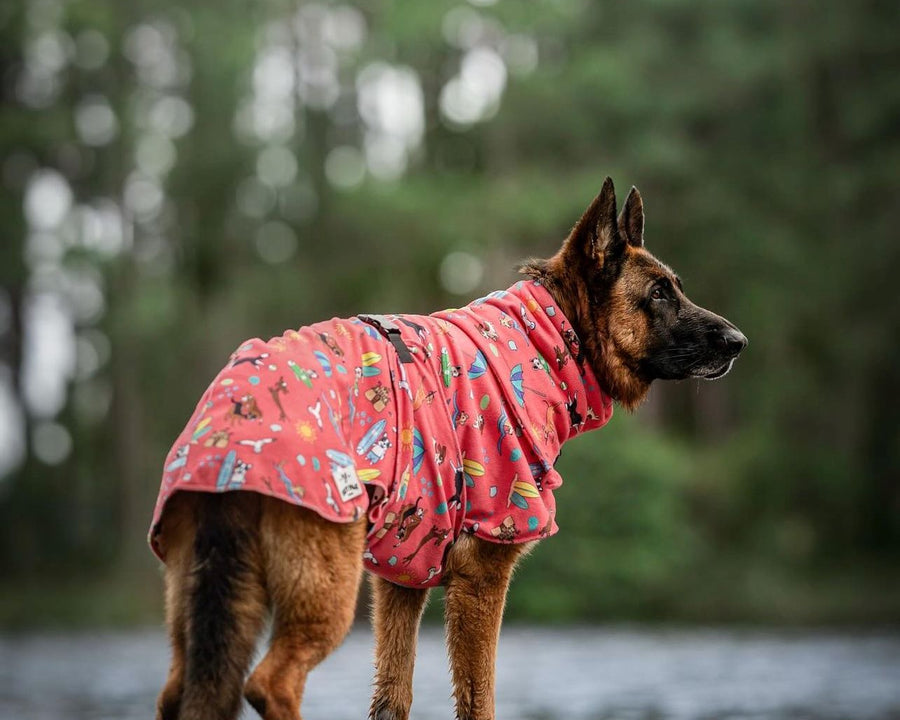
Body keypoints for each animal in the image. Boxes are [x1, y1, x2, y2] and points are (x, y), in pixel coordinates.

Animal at [153, 179, 744, 720]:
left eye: (677, 288)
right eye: (659, 294)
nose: (739, 342)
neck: (544, 336)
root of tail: (229, 426)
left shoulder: (400, 582)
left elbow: (392, 698)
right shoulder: (481, 578)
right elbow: (479, 701)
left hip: (202, 610)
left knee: (177, 692)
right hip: (323, 590)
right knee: (271, 683)